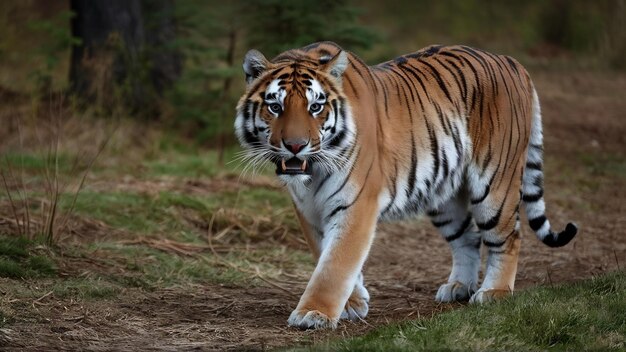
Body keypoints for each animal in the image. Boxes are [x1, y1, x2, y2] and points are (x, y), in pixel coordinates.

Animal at [233, 41, 576, 330]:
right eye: (275, 107)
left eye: (315, 107)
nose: (295, 146)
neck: (312, 173)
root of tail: (511, 60)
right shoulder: (308, 210)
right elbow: (325, 255)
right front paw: (352, 303)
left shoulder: (357, 204)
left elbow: (336, 262)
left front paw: (313, 313)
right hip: (443, 195)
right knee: (468, 237)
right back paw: (459, 287)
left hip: (494, 183)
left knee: (509, 236)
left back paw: (494, 292)